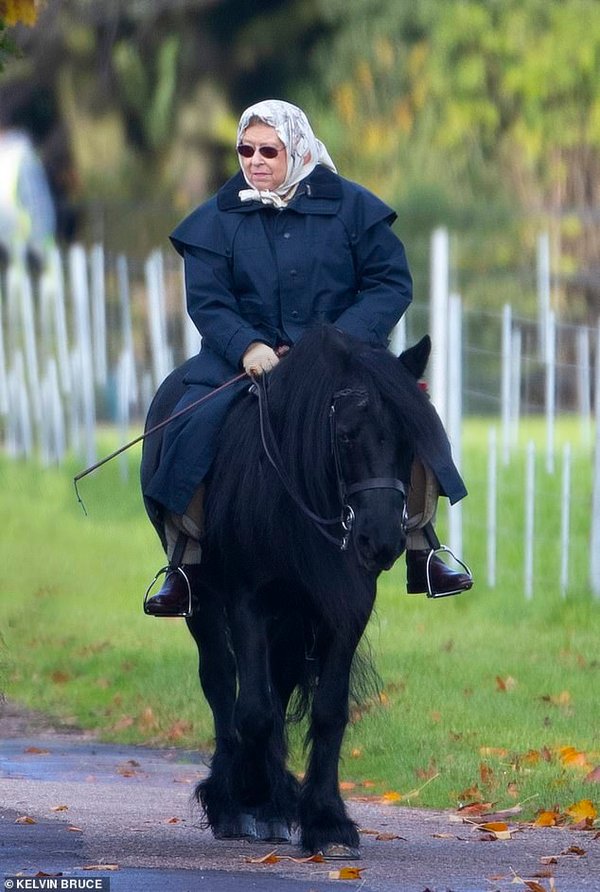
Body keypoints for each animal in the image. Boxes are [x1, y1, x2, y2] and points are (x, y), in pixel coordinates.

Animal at [144, 326, 454, 856]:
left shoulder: (346, 608)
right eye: (345, 435)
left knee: (279, 682)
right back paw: (235, 803)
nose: (380, 540)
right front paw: (251, 792)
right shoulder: (247, 600)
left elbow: (328, 710)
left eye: (410, 438)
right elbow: (252, 709)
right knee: (221, 681)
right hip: (206, 601)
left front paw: (326, 820)